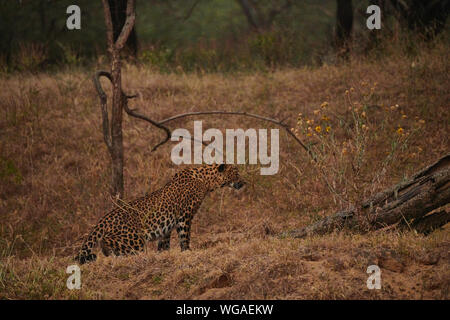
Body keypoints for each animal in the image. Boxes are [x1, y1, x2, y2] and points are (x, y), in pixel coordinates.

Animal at [74, 164, 244, 264]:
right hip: (135, 238)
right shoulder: (185, 215)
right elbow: (185, 235)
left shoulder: (168, 224)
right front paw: (187, 251)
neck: (207, 181)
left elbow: (165, 240)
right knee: (108, 242)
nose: (244, 182)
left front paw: (163, 253)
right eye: (236, 173)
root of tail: (104, 219)